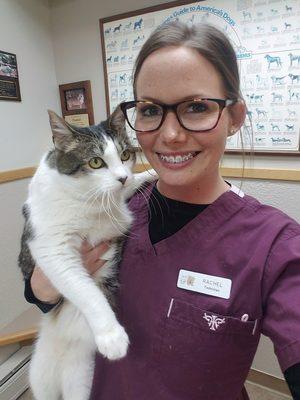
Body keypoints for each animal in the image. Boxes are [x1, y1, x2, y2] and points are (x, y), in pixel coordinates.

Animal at [17, 107, 155, 400]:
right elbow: (86, 292)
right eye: (95, 162)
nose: (122, 177)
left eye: (125, 155)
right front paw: (111, 335)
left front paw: (148, 173)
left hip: (81, 377)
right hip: (39, 376)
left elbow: (129, 186)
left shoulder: (116, 195)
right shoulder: (52, 249)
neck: (89, 200)